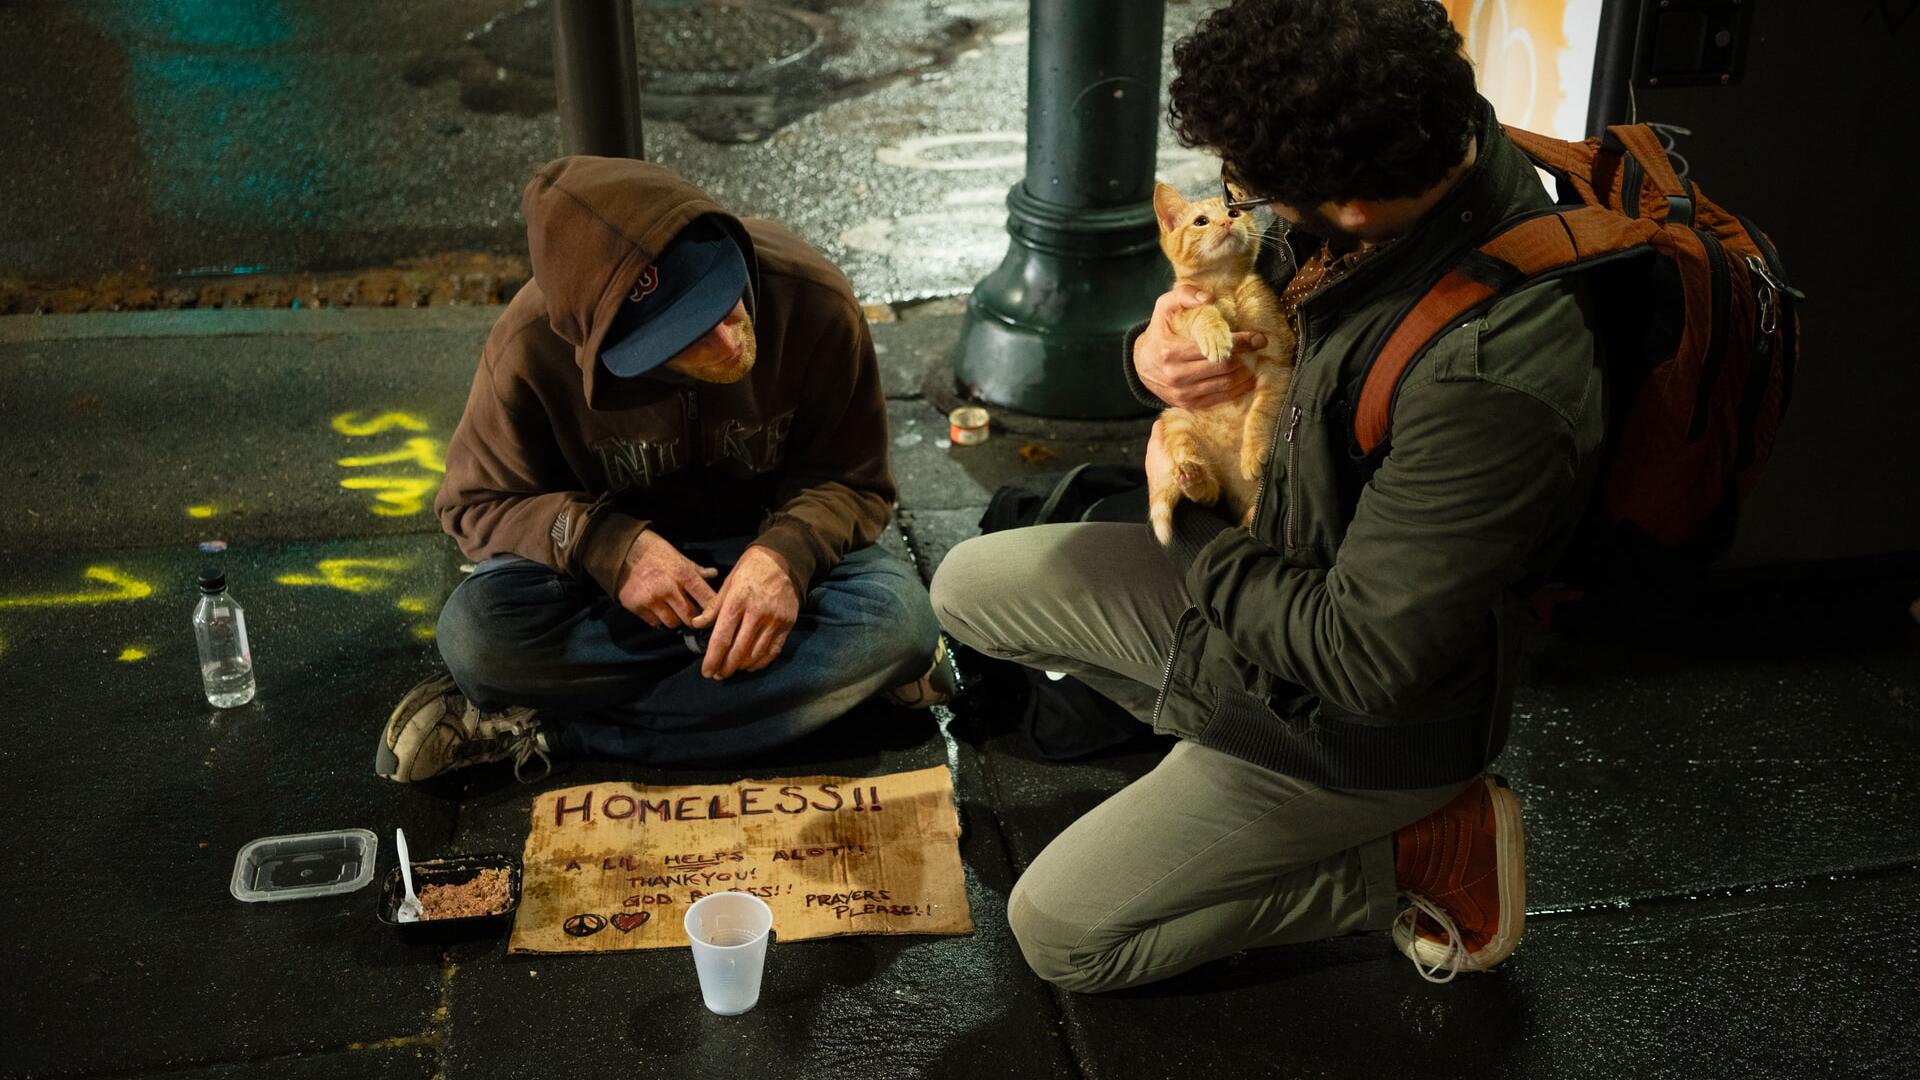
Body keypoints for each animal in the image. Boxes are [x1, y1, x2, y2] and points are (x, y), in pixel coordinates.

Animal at [1144, 182, 1297, 545]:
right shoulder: (1179, 315)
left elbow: (1262, 410)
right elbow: (1201, 311)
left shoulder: (1278, 358)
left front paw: (1253, 451)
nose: (1227, 223)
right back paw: (1194, 476)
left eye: (1234, 212)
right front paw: (1215, 334)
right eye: (1201, 221)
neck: (1224, 285)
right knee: (1209, 494)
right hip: (1178, 419)